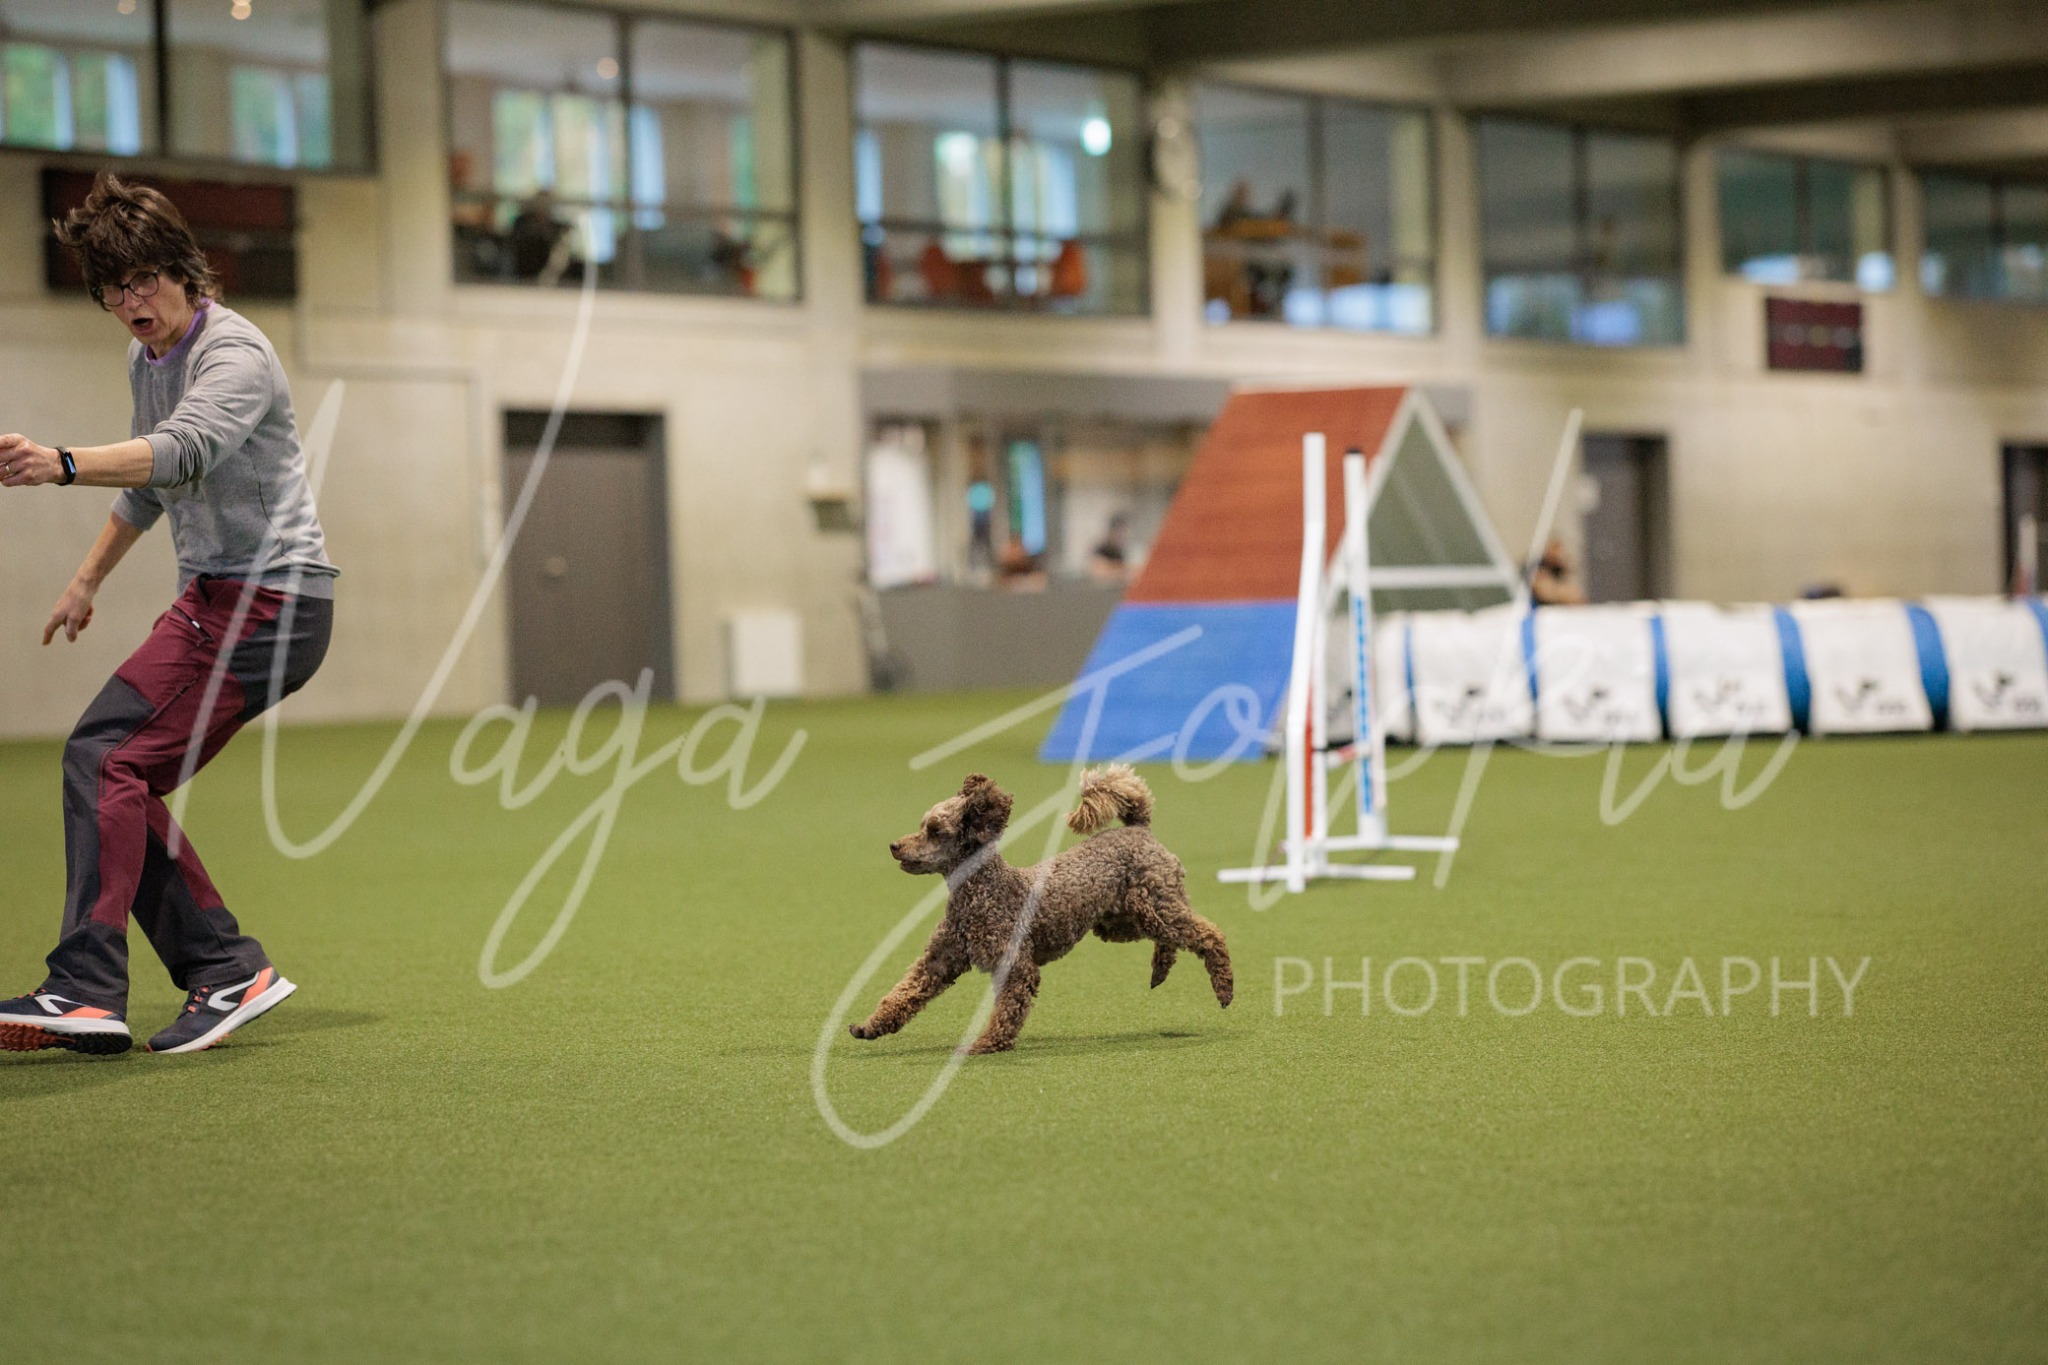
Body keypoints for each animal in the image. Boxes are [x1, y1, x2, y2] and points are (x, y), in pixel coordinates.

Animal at [850, 766, 1232, 1054]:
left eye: (934, 830)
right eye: (922, 826)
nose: (894, 846)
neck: (982, 893)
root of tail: (1139, 829)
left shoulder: (1016, 966)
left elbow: (1006, 1011)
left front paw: (987, 1043)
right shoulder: (940, 960)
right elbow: (903, 993)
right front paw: (869, 1026)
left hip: (1153, 907)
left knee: (1208, 934)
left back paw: (1224, 988)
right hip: (1122, 920)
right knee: (1172, 938)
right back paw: (1160, 970)